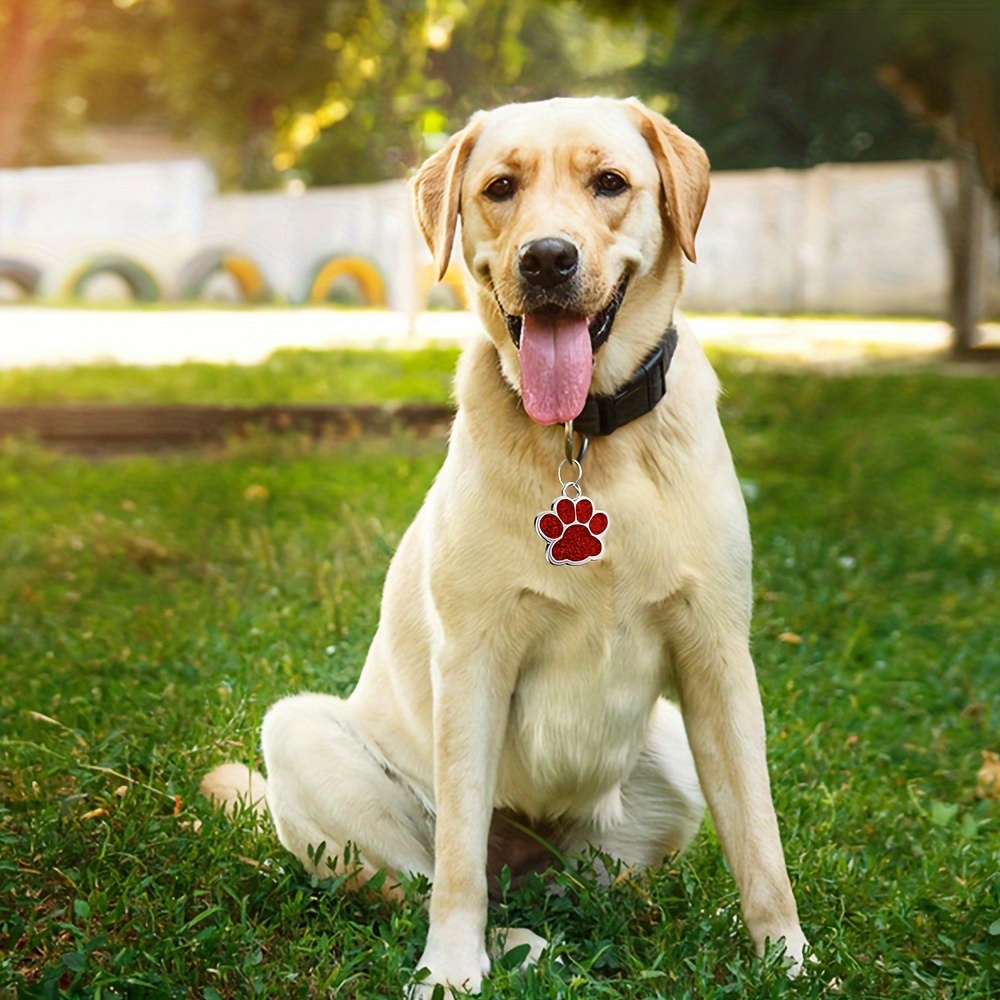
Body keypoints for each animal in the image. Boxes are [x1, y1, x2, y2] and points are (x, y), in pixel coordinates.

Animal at [207, 97, 808, 996]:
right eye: (499, 188)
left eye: (610, 183)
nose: (548, 258)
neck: (585, 437)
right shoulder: (473, 663)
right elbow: (456, 860)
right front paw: (452, 968)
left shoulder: (717, 661)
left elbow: (761, 840)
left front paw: (790, 958)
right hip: (302, 736)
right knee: (424, 880)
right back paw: (512, 942)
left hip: (665, 758)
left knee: (580, 888)